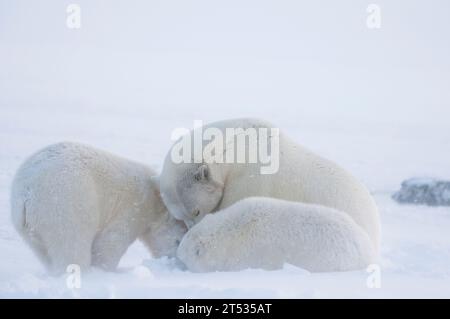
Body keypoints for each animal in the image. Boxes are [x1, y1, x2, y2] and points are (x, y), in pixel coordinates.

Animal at [11, 142, 186, 276]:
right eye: (177, 241)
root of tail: (26, 194)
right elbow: (110, 243)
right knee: (72, 246)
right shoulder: (132, 209)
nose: (178, 265)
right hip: (65, 204)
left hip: (30, 227)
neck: (156, 199)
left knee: (43, 251)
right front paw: (105, 271)